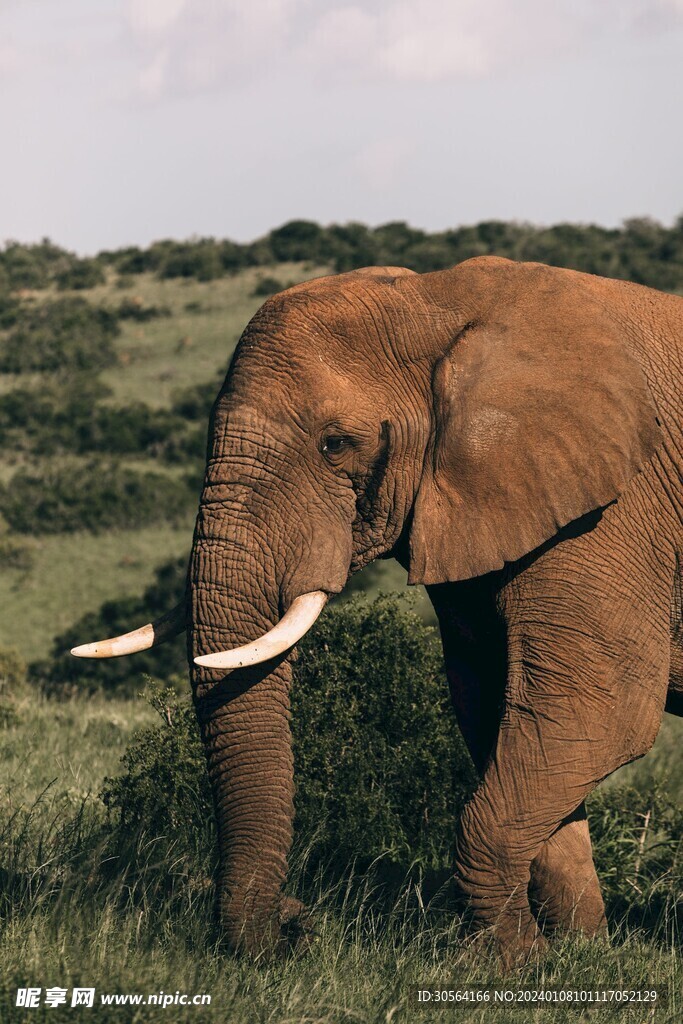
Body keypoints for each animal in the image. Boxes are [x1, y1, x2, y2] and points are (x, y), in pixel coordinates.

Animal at [72, 255, 683, 964]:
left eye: (336, 444)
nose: (295, 926)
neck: (438, 301)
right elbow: (504, 713)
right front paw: (573, 956)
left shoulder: (614, 510)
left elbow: (596, 714)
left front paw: (510, 963)